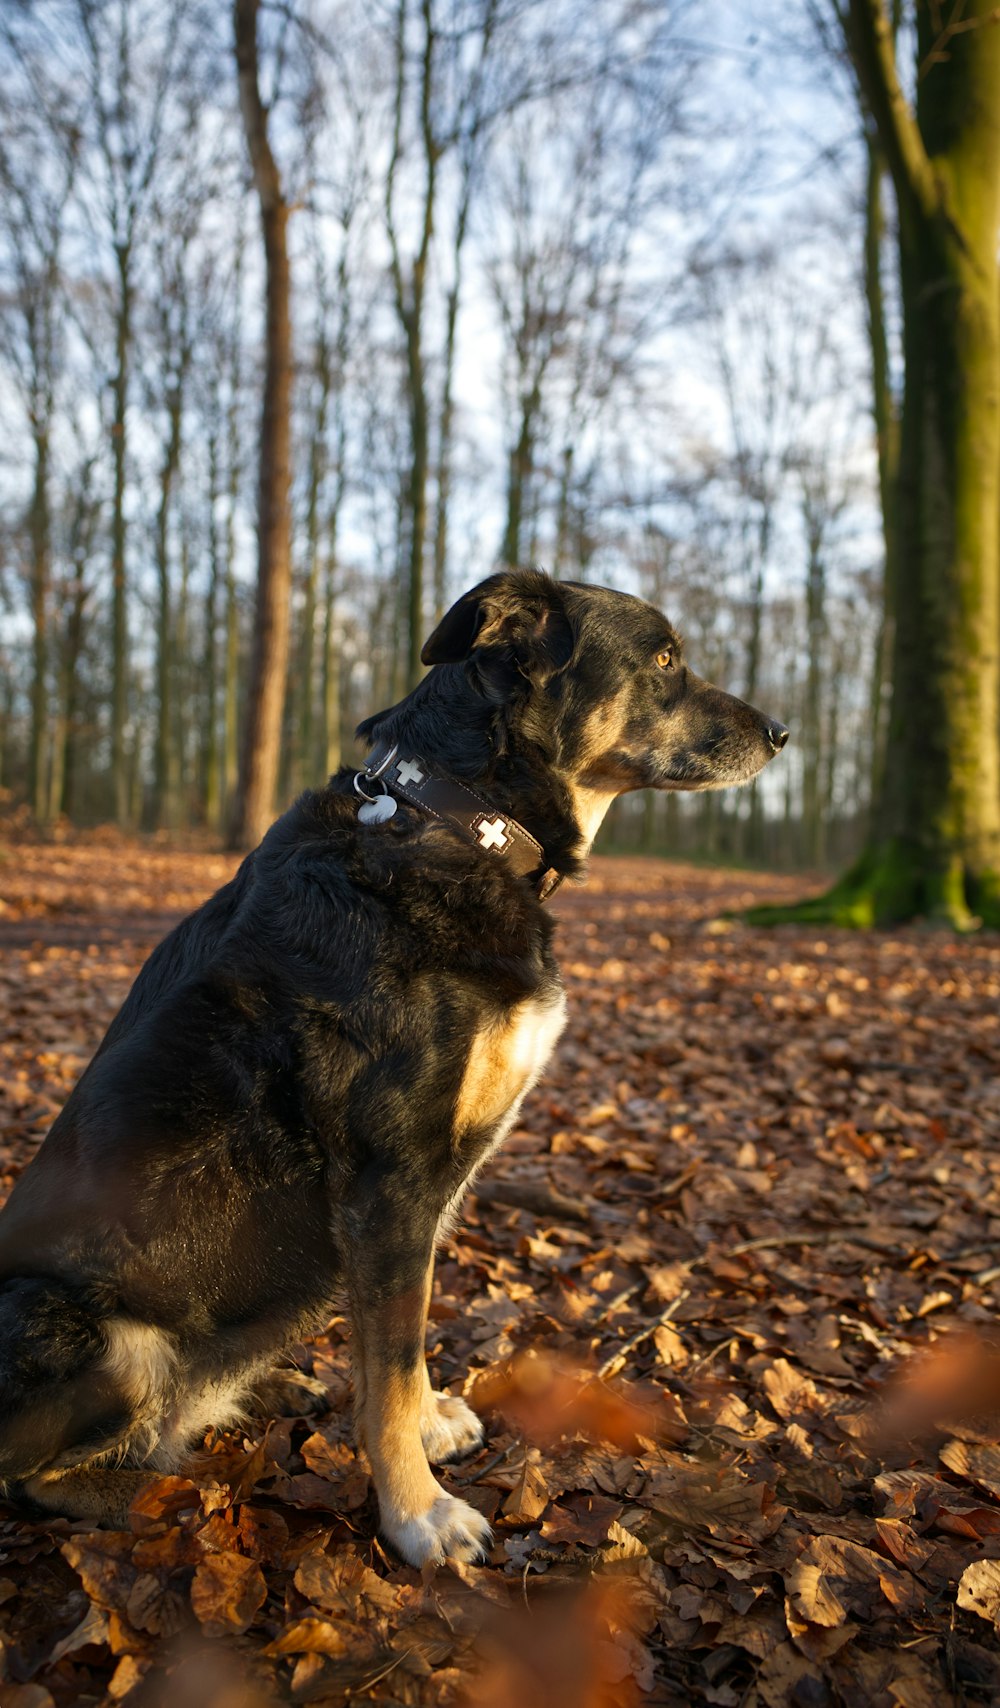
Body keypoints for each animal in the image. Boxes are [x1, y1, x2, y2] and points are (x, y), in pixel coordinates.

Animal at [0, 570, 782, 1564]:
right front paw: (417, 1513)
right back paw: (173, 1494)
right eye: (668, 659)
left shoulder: (412, 1197)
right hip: (95, 1335)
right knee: (36, 1479)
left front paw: (423, 1428)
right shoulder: (392, 1179)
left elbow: (394, 1356)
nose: (783, 733)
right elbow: (396, 1364)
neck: (462, 816)